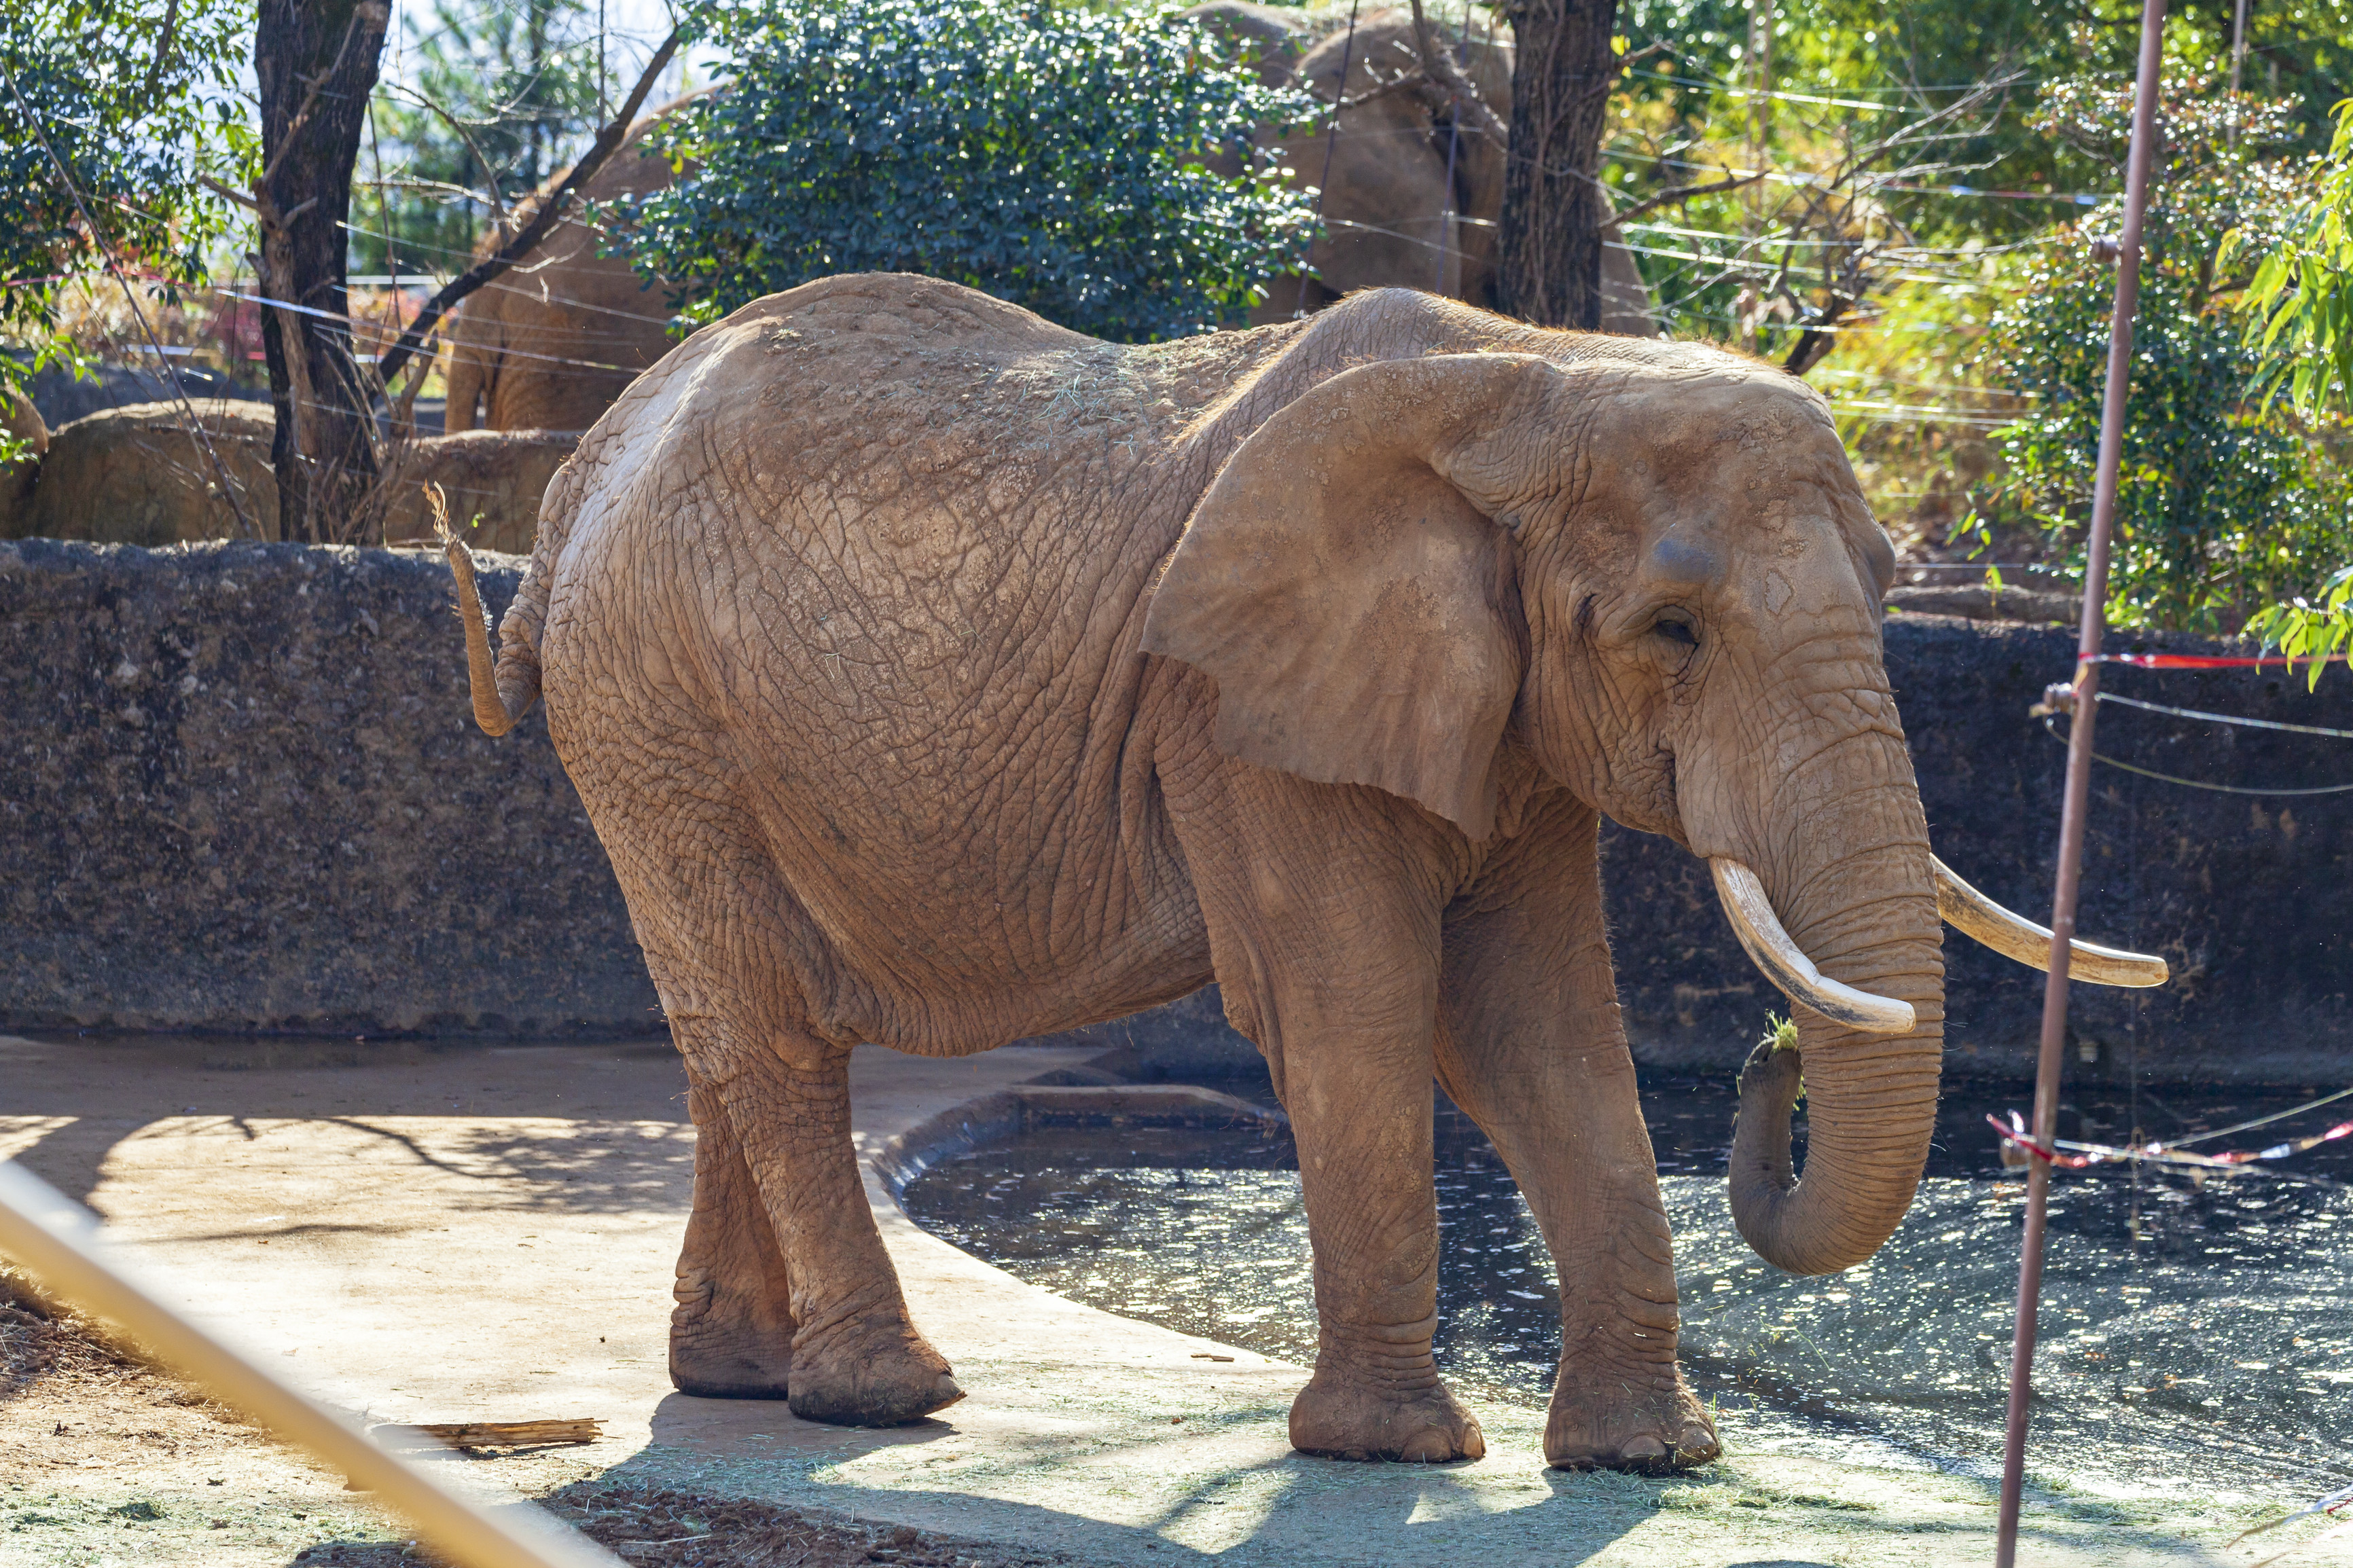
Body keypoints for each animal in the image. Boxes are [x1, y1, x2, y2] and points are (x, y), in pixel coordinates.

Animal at [444, 266, 2164, 1476]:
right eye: (1672, 628)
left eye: (1886, 586)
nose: (1768, 1051)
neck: (1526, 374)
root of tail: (579, 476)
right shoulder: (1232, 707)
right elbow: (1359, 999)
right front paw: (1401, 1448)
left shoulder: (1497, 713)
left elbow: (1539, 1022)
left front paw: (1647, 1456)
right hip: (655, 701)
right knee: (775, 1023)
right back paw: (885, 1395)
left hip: (659, 718)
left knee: (722, 1018)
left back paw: (743, 1377)